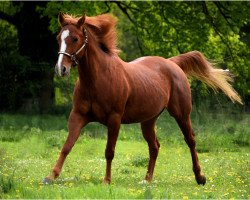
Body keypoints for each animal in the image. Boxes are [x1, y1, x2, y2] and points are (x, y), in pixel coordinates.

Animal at [43, 12, 242, 185]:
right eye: (58, 38)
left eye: (75, 39)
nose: (61, 69)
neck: (97, 80)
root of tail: (172, 63)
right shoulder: (77, 116)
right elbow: (67, 146)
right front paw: (50, 177)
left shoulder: (114, 119)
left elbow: (109, 151)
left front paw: (106, 181)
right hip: (148, 121)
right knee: (154, 146)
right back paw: (147, 180)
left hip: (181, 115)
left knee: (190, 141)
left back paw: (200, 177)